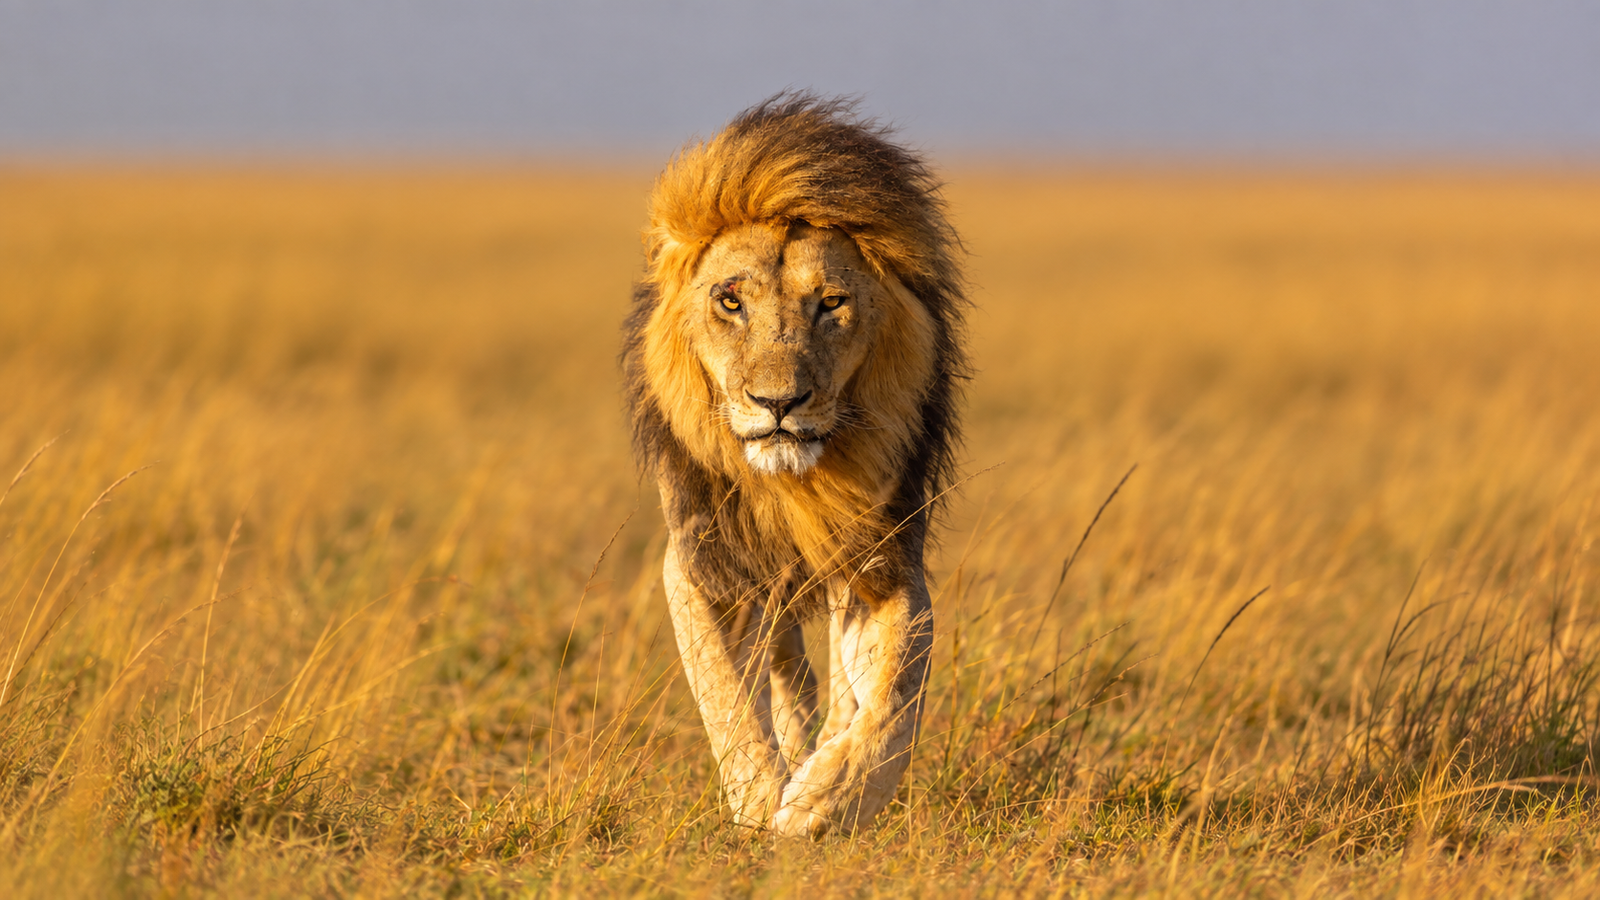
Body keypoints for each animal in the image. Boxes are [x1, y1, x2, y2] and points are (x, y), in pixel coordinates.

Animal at [622, 93, 968, 837]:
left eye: (830, 303)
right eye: (730, 300)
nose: (778, 403)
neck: (791, 485)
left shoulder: (885, 562)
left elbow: (895, 694)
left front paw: (825, 801)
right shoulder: (701, 565)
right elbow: (725, 694)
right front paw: (758, 802)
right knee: (785, 678)